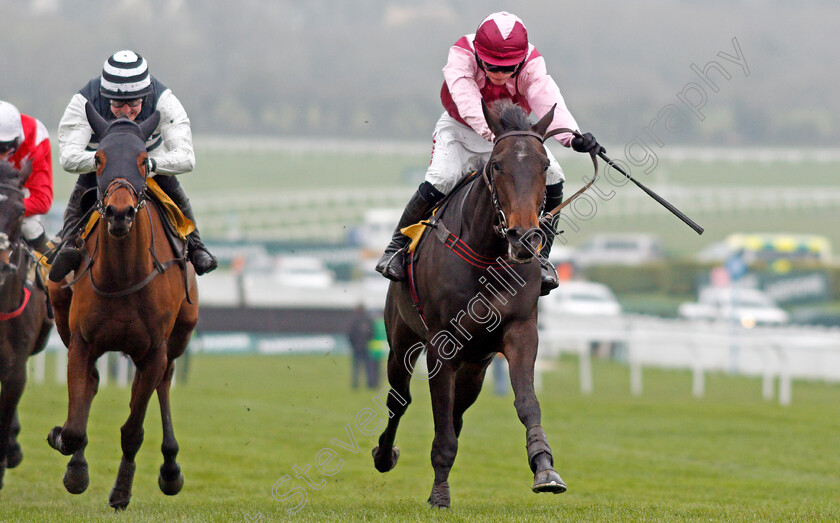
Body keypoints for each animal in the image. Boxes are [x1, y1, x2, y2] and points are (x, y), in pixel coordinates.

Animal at [48, 103, 199, 512]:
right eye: (99, 159)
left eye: (144, 159)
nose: (119, 213)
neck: (123, 275)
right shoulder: (82, 342)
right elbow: (74, 425)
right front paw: (71, 461)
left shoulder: (153, 351)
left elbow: (133, 429)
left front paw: (121, 491)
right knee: (91, 385)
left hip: (178, 337)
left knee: (164, 383)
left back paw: (171, 468)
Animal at [372, 99, 576, 508]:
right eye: (496, 164)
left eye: (544, 165)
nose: (524, 237)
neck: (486, 258)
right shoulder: (441, 346)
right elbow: (437, 419)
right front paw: (439, 494)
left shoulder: (520, 333)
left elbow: (527, 403)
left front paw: (545, 467)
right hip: (401, 339)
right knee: (399, 399)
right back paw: (385, 455)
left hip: (476, 364)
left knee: (457, 412)